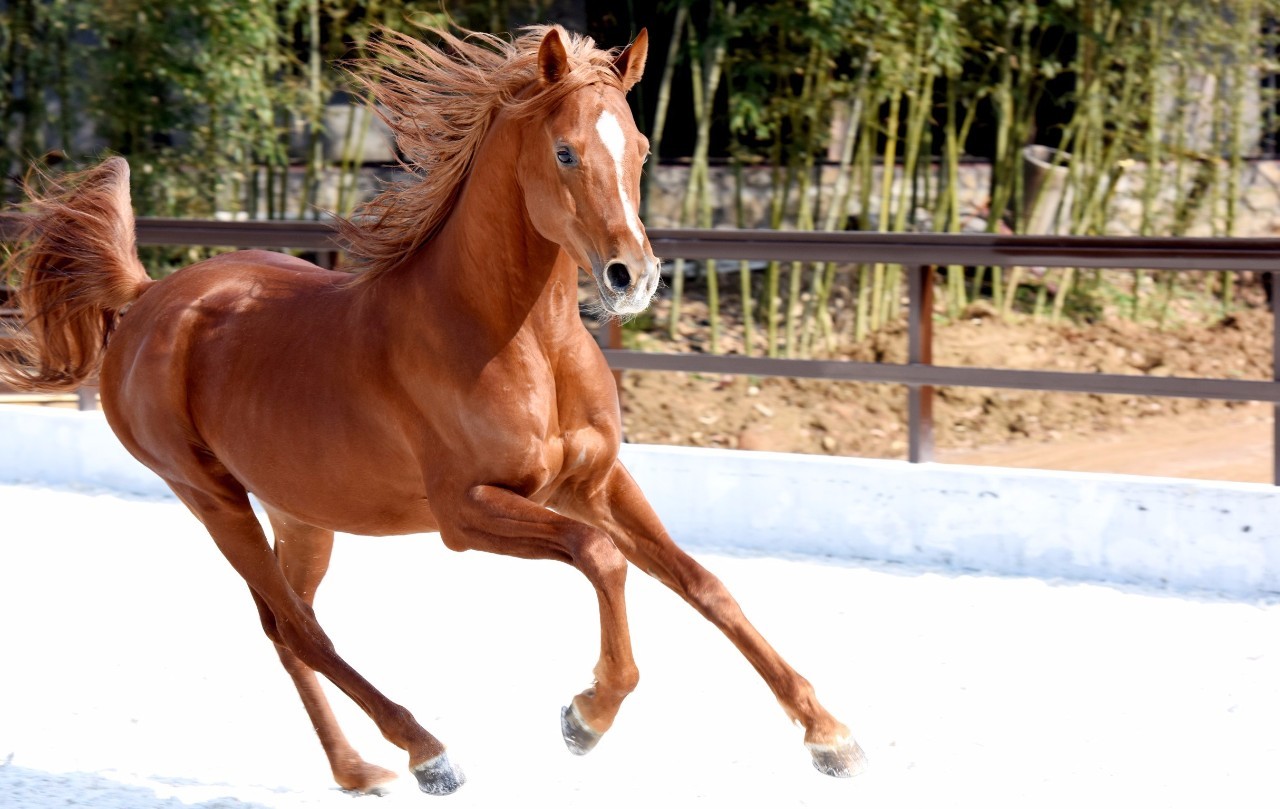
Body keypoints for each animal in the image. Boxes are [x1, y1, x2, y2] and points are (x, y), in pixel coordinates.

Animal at [0, 25, 865, 798]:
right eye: (566, 152)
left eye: (643, 149)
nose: (634, 276)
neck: (512, 337)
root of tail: (148, 299)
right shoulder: (468, 511)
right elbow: (601, 557)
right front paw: (586, 716)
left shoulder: (595, 481)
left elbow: (704, 582)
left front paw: (830, 736)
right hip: (211, 496)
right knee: (304, 628)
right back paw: (427, 752)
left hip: (301, 510)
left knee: (284, 626)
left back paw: (357, 770)